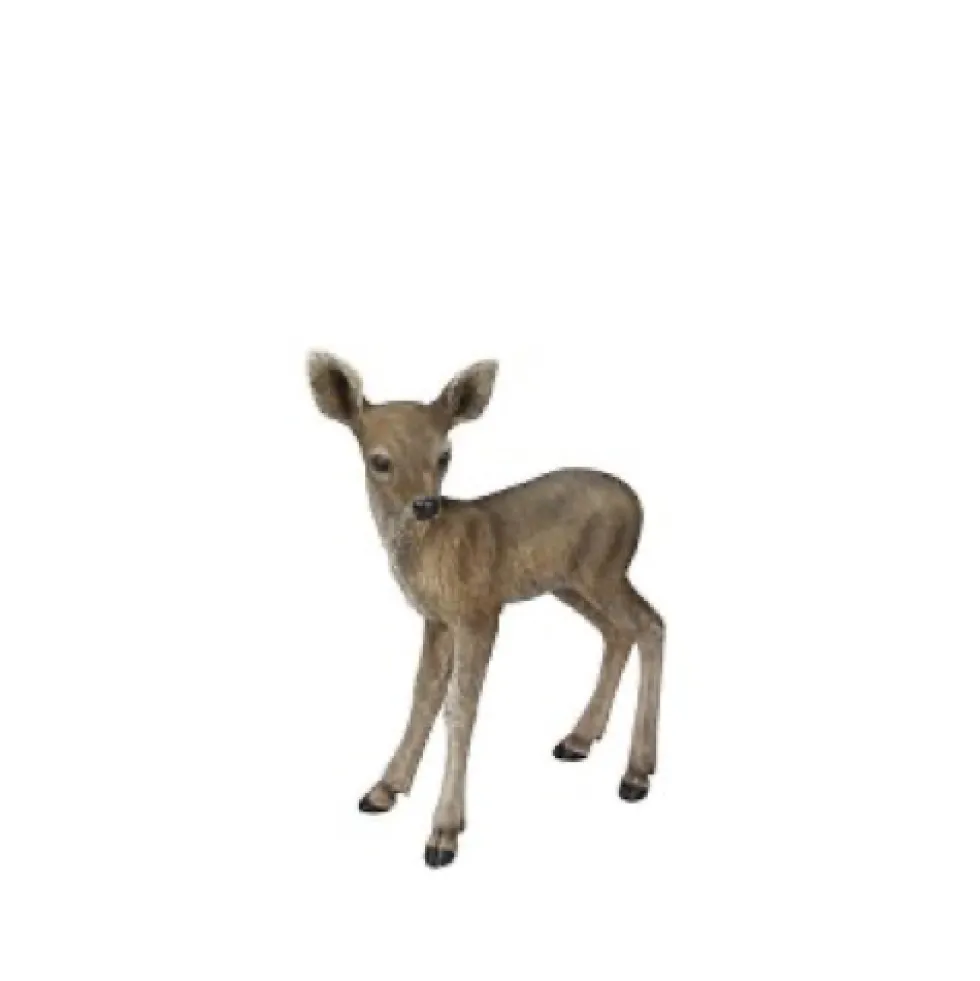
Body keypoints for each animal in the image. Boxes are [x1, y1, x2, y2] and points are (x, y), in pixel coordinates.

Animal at [307, 351, 665, 868]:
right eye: (379, 461)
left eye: (445, 455)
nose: (425, 505)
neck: (436, 552)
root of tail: (637, 503)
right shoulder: (437, 619)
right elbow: (423, 694)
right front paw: (384, 789)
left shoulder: (480, 610)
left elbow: (460, 707)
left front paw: (443, 833)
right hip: (573, 584)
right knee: (620, 631)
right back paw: (578, 740)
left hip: (604, 571)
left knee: (650, 624)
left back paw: (636, 773)